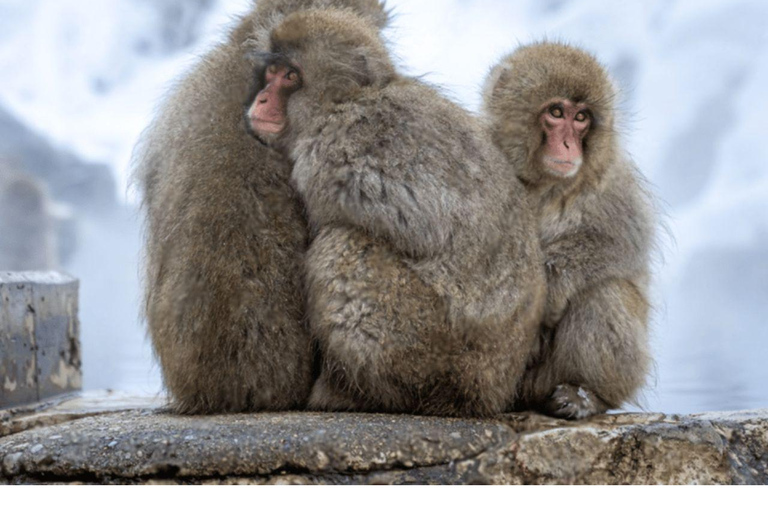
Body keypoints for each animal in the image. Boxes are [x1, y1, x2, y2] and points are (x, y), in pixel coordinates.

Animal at [248, 8, 544, 418]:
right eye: (272, 72)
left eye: (290, 76)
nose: (260, 99)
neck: (343, 103)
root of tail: (489, 392)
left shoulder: (329, 155)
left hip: (429, 348)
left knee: (341, 246)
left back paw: (360, 394)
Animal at [486, 43, 656, 420]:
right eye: (556, 112)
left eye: (581, 118)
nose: (568, 145)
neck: (543, 184)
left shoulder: (612, 179)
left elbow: (622, 243)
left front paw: (551, 288)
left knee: (604, 291)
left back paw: (586, 395)